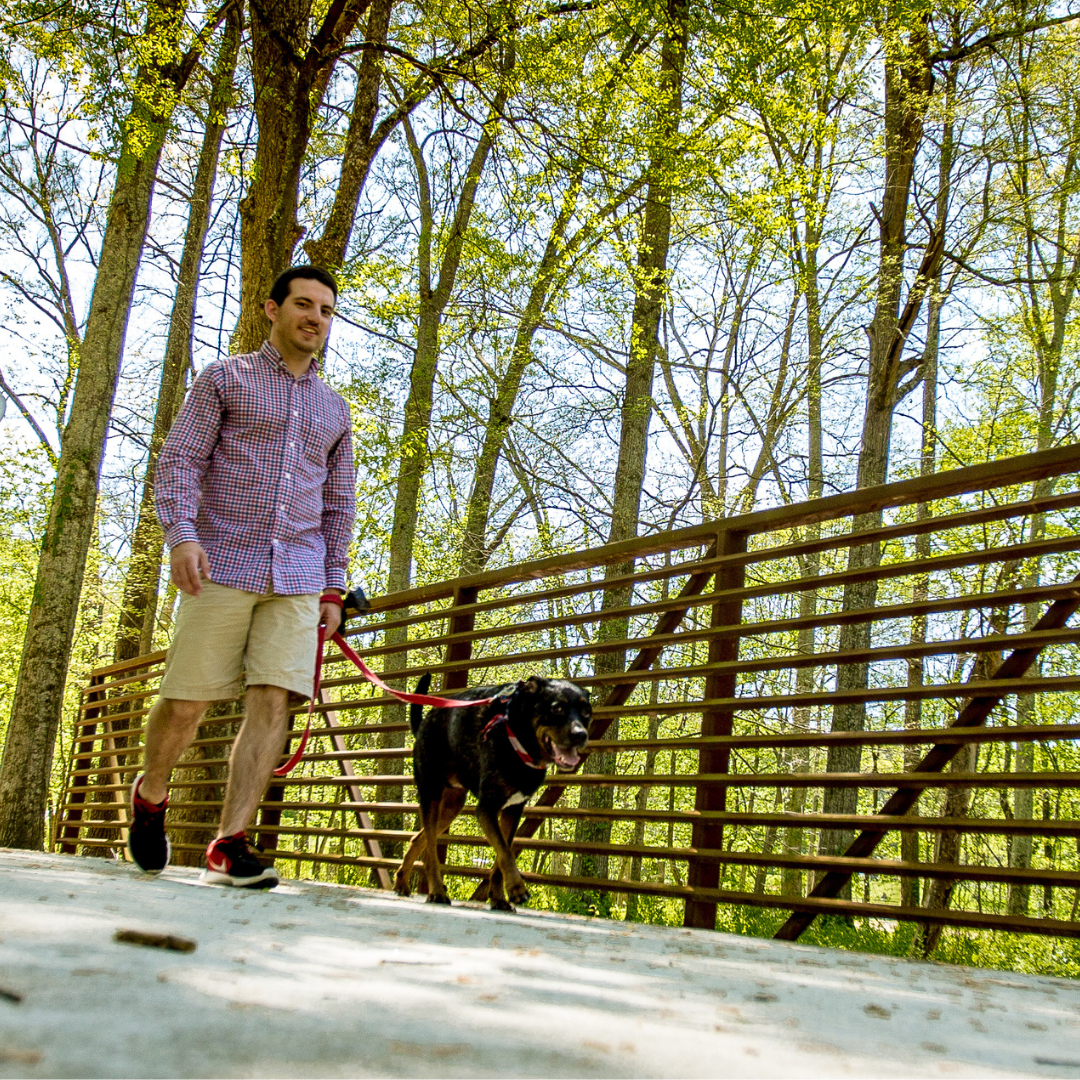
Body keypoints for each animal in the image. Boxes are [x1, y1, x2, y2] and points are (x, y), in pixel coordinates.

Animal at [393, 673, 591, 911]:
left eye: (587, 712)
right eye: (557, 709)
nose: (581, 735)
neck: (515, 736)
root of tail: (423, 724)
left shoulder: (513, 810)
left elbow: (502, 854)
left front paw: (499, 898)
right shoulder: (487, 808)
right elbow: (505, 853)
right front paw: (517, 888)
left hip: (451, 807)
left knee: (418, 839)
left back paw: (402, 882)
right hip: (431, 794)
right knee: (430, 849)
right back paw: (437, 891)